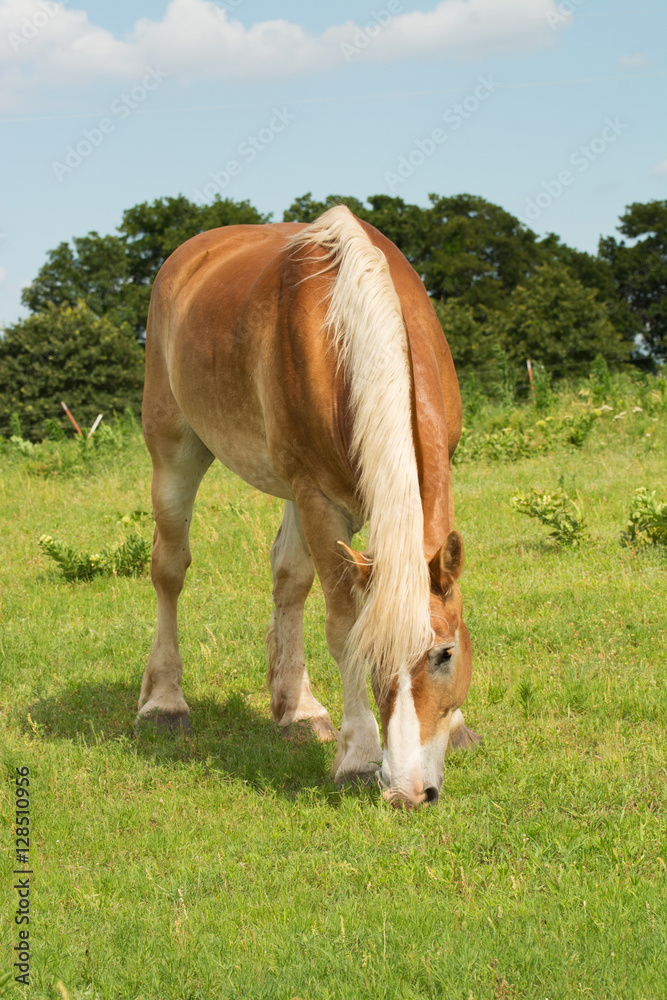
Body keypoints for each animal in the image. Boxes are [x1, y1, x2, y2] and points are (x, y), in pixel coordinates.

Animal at [139, 205, 477, 808]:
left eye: (444, 654)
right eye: (374, 659)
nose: (409, 792)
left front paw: (457, 728)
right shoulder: (320, 499)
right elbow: (342, 627)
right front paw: (359, 757)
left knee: (288, 580)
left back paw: (297, 708)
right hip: (176, 449)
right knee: (169, 570)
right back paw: (164, 703)